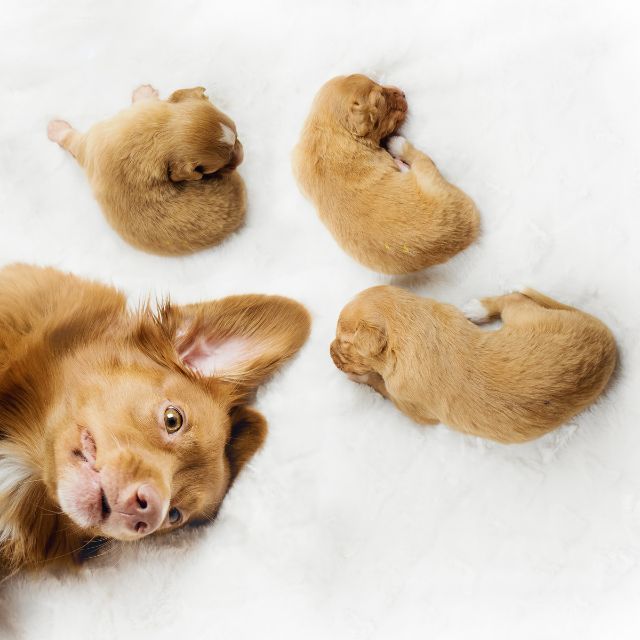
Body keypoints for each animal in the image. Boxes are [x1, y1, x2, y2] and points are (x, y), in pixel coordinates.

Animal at [292, 75, 478, 276]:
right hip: (429, 176)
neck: (329, 131)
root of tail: (468, 230)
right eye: (380, 99)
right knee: (417, 158)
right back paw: (397, 145)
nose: (403, 92)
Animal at [330, 284, 616, 440]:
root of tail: (608, 339)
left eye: (343, 342)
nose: (329, 352)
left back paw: (477, 308)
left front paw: (359, 377)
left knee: (516, 297)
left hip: (521, 315)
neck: (411, 330)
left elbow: (380, 384)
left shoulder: (411, 407)